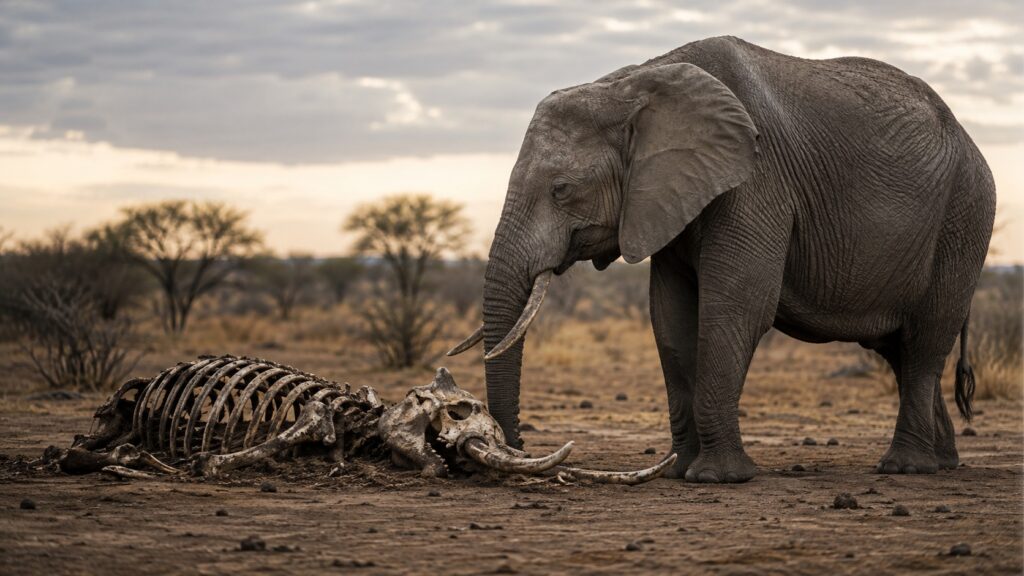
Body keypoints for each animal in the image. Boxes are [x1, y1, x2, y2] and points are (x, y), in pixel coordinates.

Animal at [448, 36, 996, 483]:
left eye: (562, 190)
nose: (514, 446)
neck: (630, 84)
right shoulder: (668, 198)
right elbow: (670, 319)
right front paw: (680, 471)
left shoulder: (756, 181)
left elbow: (735, 307)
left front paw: (718, 478)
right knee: (899, 350)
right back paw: (942, 462)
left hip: (965, 215)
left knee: (924, 344)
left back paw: (907, 468)